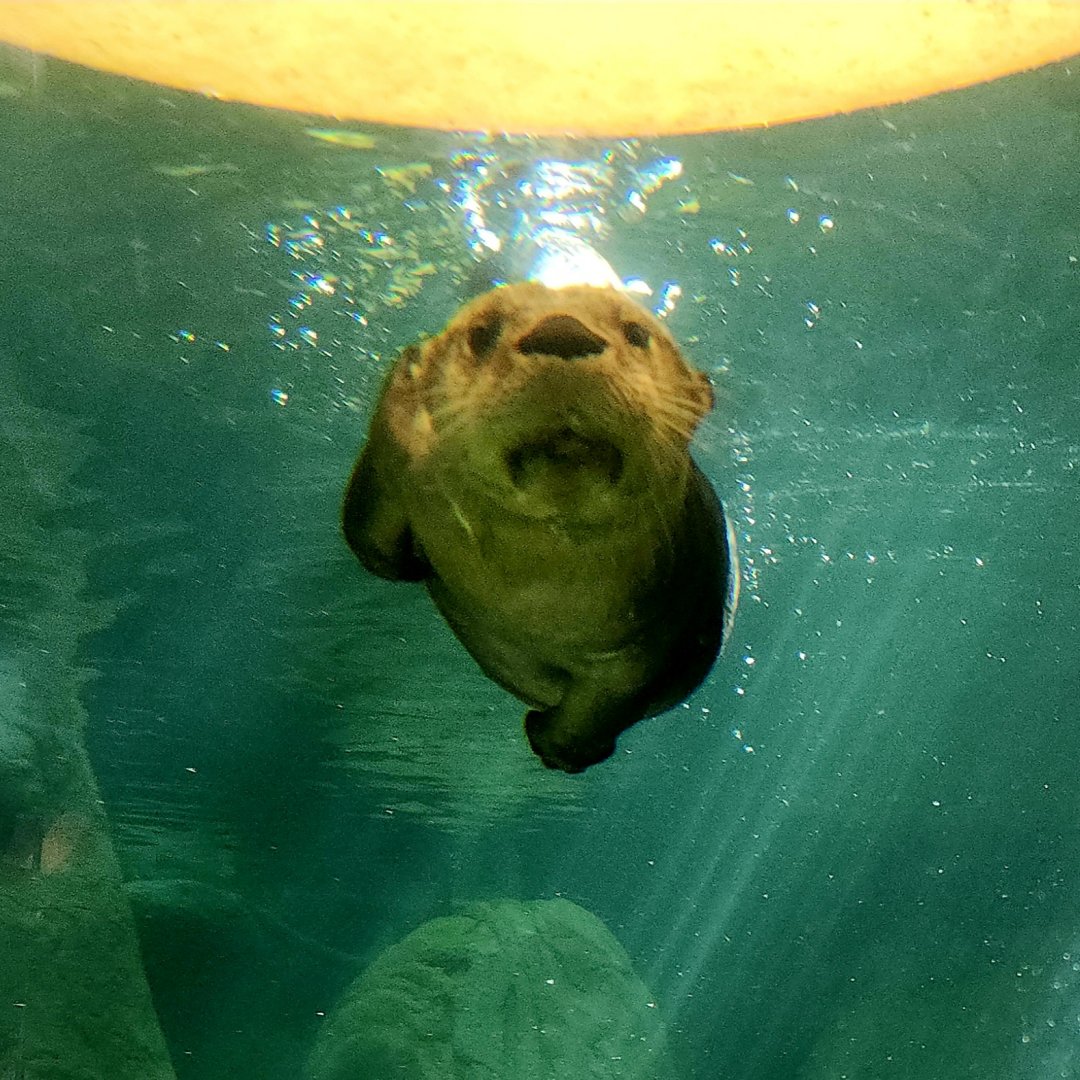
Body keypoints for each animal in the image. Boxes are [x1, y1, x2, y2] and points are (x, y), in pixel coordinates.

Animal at [342, 282, 736, 773]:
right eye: (482, 333)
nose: (563, 332)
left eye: (637, 333)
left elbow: (605, 705)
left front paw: (557, 745)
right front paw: (406, 391)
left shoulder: (656, 637)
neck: (529, 597)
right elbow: (373, 542)